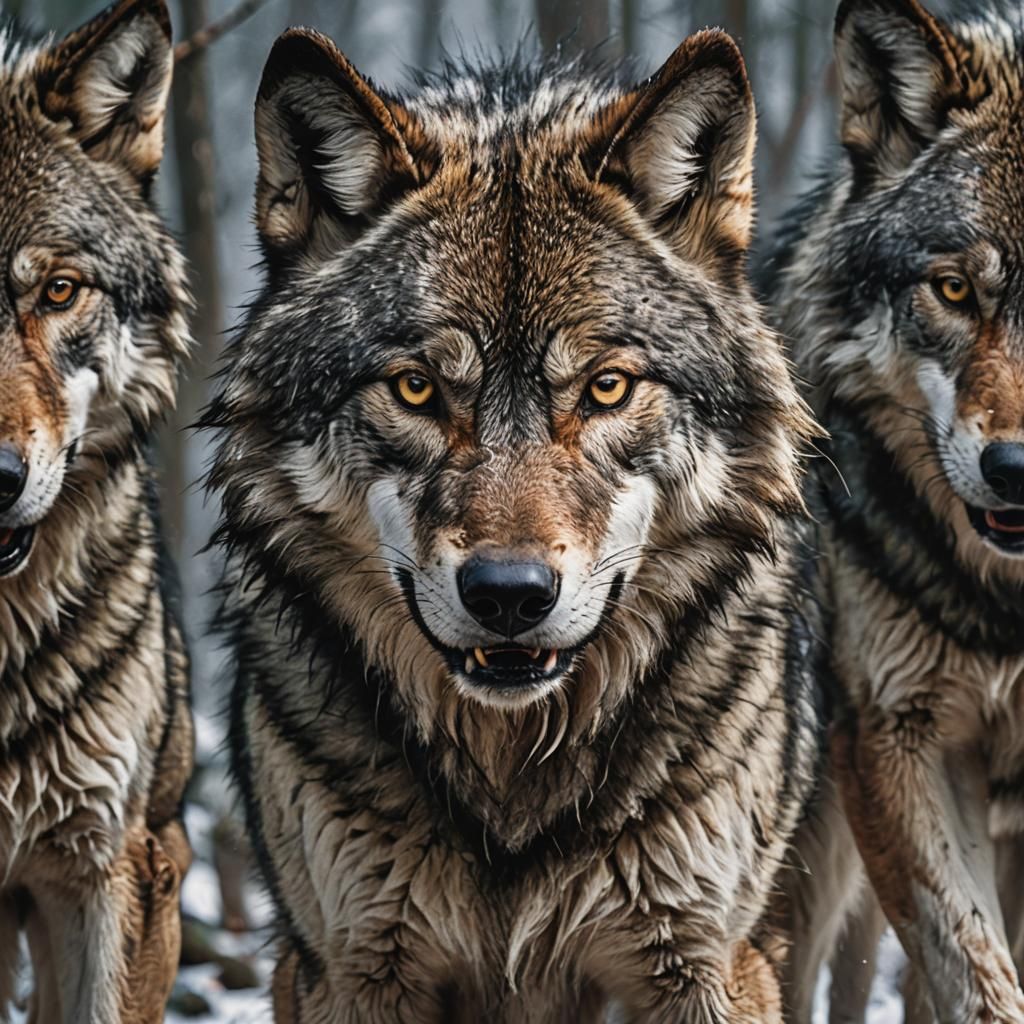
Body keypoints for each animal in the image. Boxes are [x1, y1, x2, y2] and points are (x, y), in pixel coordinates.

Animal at [206, 23, 823, 1024]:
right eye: (417, 388)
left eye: (606, 387)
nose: (508, 596)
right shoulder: (345, 968)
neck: (511, 783)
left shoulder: (708, 963)